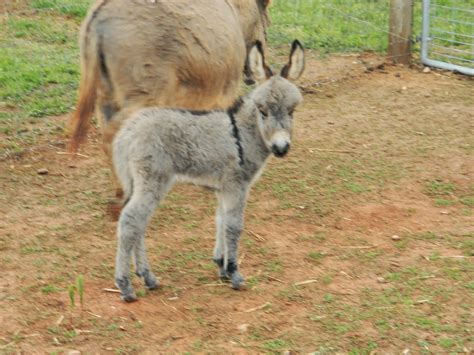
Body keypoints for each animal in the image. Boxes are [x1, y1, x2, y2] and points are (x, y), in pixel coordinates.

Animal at [112, 41, 304, 304]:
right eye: (262, 110)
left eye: (292, 111)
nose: (281, 148)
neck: (242, 134)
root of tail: (127, 132)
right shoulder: (236, 184)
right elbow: (233, 225)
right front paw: (234, 273)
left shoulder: (224, 187)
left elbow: (220, 219)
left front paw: (221, 266)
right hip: (152, 179)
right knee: (131, 220)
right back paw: (125, 286)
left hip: (139, 182)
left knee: (138, 223)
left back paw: (147, 277)